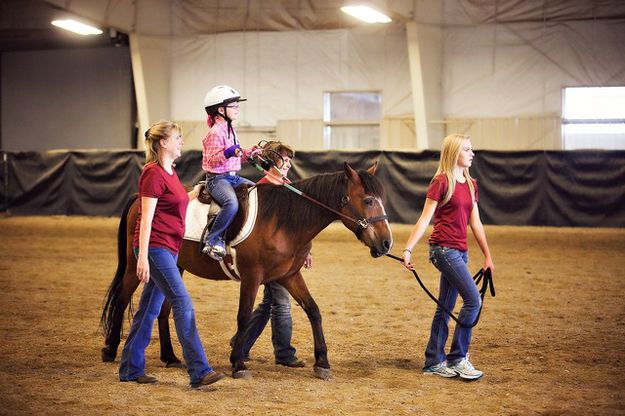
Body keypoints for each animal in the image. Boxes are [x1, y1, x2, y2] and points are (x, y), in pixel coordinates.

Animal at [100, 162, 392, 380]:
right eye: (368, 200)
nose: (387, 243)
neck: (283, 220)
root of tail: (140, 198)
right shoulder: (251, 277)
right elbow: (243, 316)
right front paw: (238, 363)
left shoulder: (289, 275)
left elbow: (313, 311)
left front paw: (322, 362)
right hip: (137, 265)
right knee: (123, 298)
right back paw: (111, 348)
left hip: (173, 266)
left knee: (163, 310)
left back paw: (170, 357)